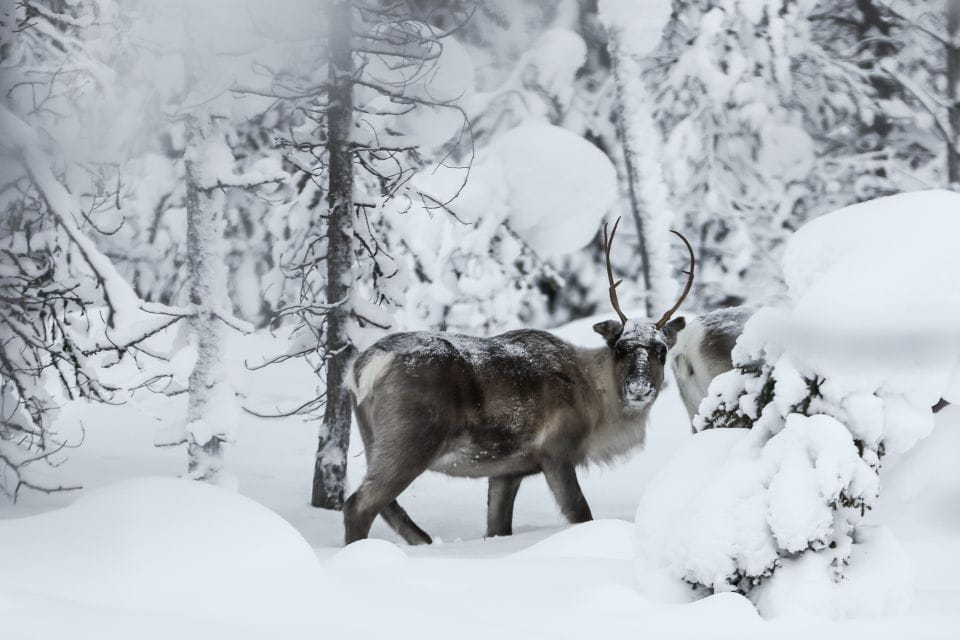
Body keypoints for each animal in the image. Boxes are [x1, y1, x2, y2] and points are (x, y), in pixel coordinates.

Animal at [342, 218, 695, 545]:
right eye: (620, 348)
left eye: (662, 350)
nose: (639, 388)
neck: (595, 402)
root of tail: (365, 365)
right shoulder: (557, 451)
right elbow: (580, 513)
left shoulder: (507, 470)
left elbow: (498, 527)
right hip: (411, 438)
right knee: (358, 504)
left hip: (372, 437)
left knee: (385, 505)